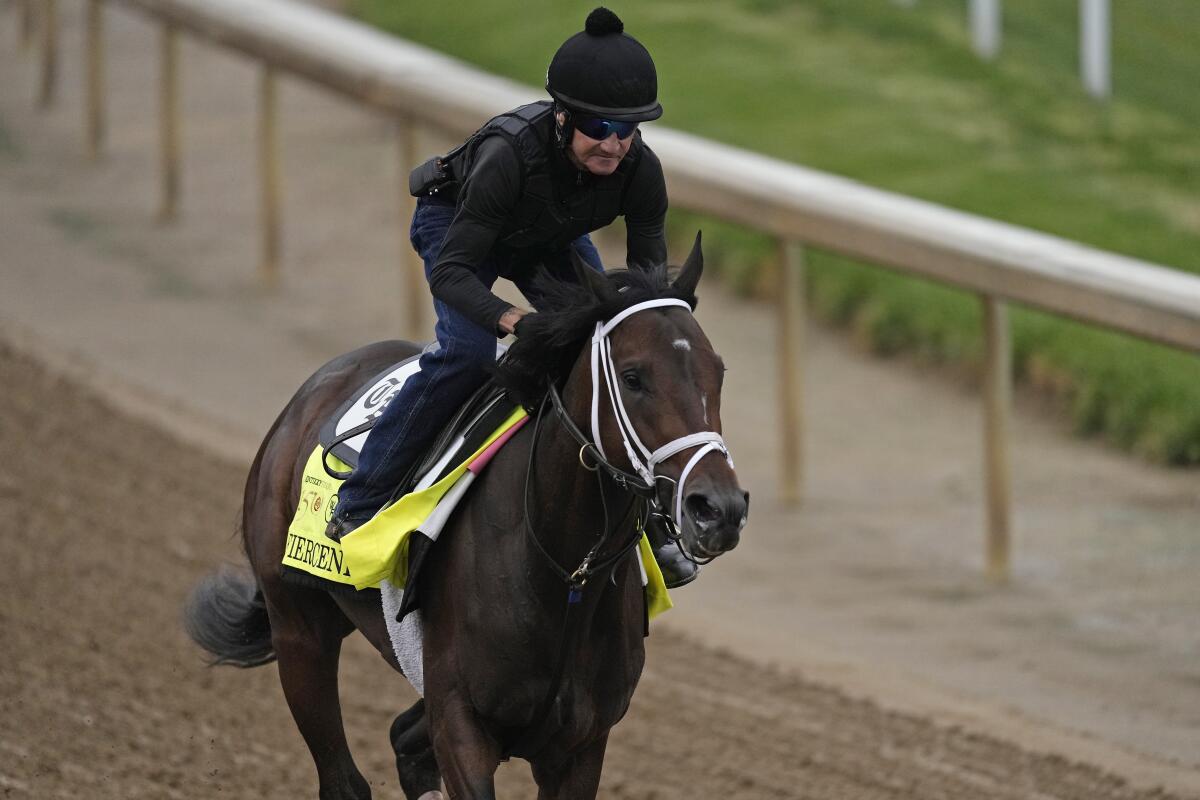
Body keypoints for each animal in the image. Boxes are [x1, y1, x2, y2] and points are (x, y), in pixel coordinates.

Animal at [183, 237, 748, 800]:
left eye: (718, 372)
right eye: (633, 378)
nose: (719, 510)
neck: (565, 572)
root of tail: (305, 399)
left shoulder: (580, 743)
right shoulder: (461, 723)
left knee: (402, 740)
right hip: (299, 629)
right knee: (344, 778)